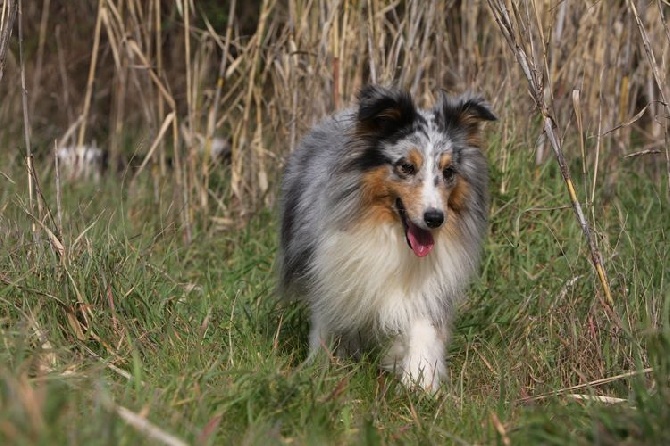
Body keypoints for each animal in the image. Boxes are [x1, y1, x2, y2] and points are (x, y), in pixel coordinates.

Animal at [276, 83, 496, 390]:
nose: (435, 219)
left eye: (448, 171)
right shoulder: (332, 270)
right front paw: (320, 369)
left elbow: (422, 328)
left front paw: (419, 383)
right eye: (406, 167)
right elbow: (325, 321)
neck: (391, 234)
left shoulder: (426, 284)